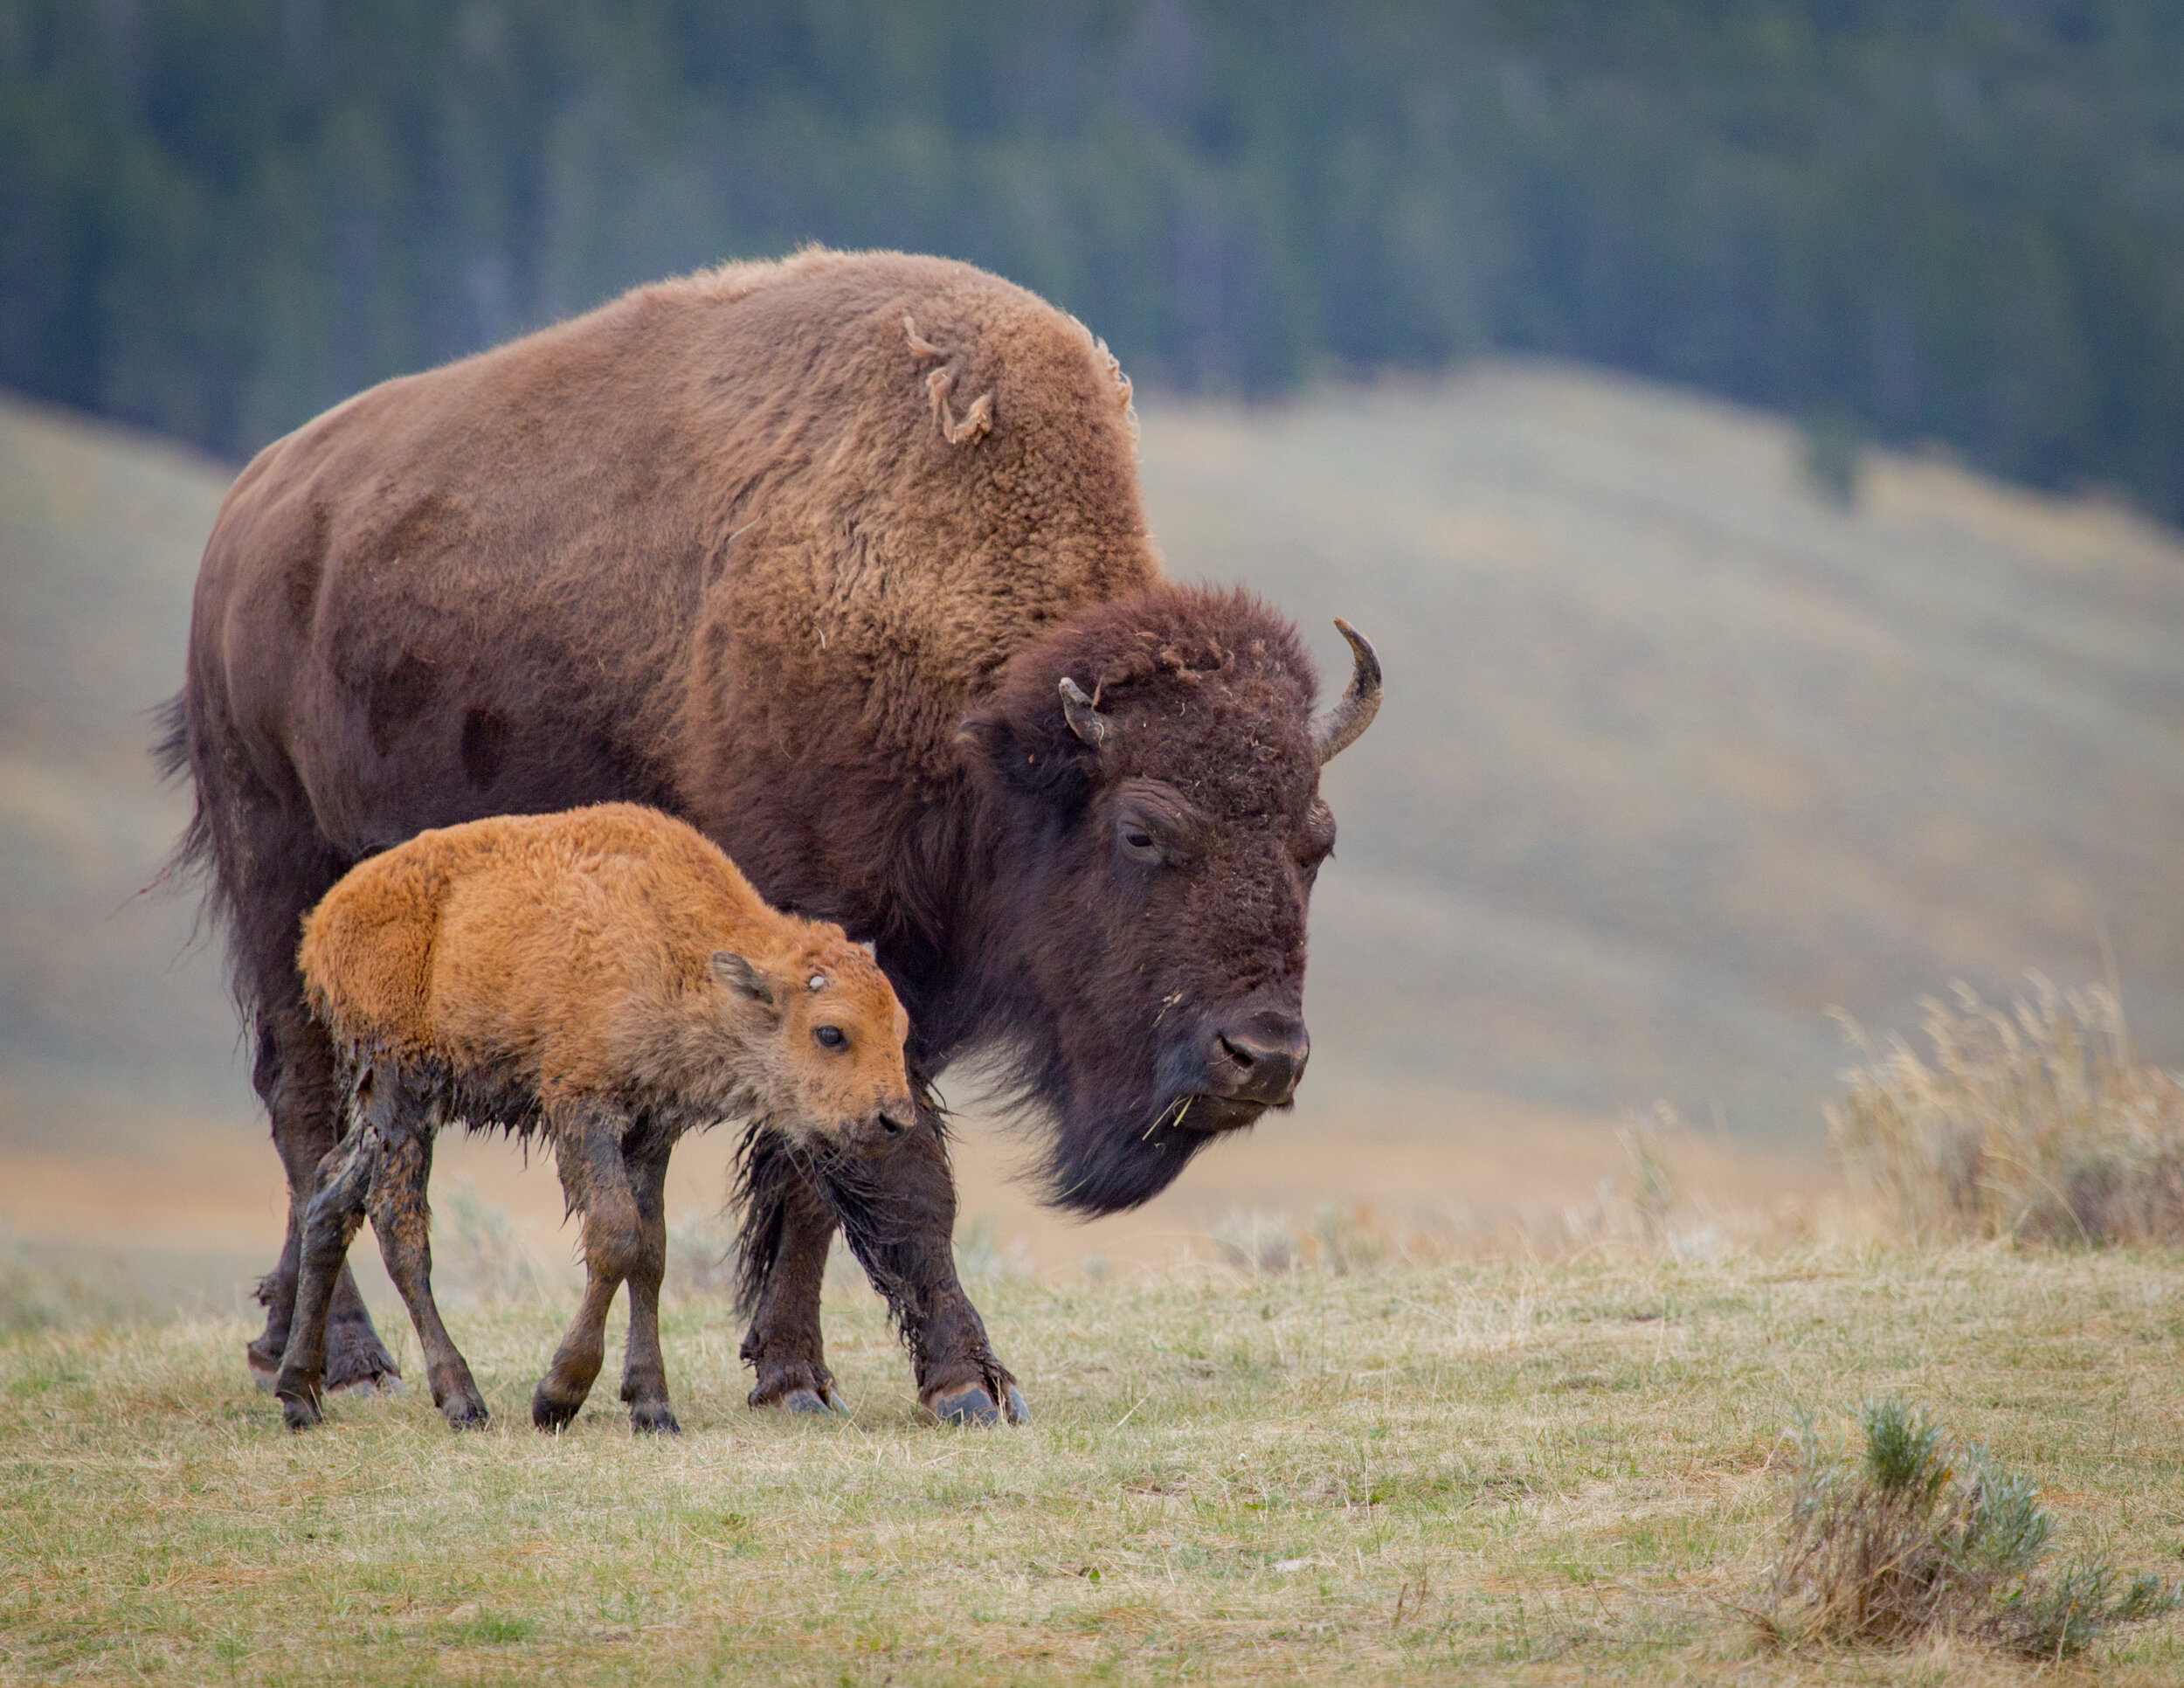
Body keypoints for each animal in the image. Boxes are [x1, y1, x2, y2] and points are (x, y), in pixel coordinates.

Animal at [275, 794, 913, 1432]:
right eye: (830, 1032)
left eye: (900, 1026)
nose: (895, 1121)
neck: (677, 946)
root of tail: (325, 921)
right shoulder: (584, 1109)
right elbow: (615, 1237)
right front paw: (559, 1394)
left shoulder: (652, 1128)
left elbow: (652, 1253)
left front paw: (653, 1405)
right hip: (401, 1092)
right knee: (399, 1228)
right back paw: (461, 1398)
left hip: (389, 1110)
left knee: (331, 1199)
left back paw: (299, 1393)